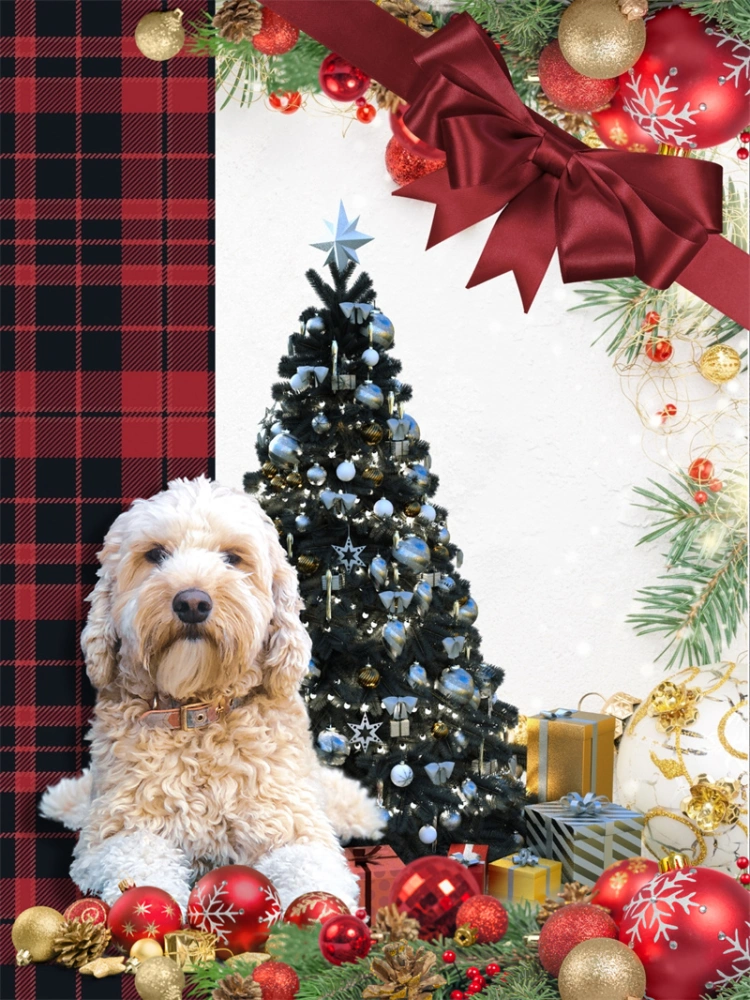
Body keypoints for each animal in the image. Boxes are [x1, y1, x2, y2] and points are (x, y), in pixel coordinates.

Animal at [40, 476, 384, 916]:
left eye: (232, 558)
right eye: (156, 554)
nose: (192, 602)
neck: (198, 716)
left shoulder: (295, 826)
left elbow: (311, 871)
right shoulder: (114, 831)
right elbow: (143, 862)